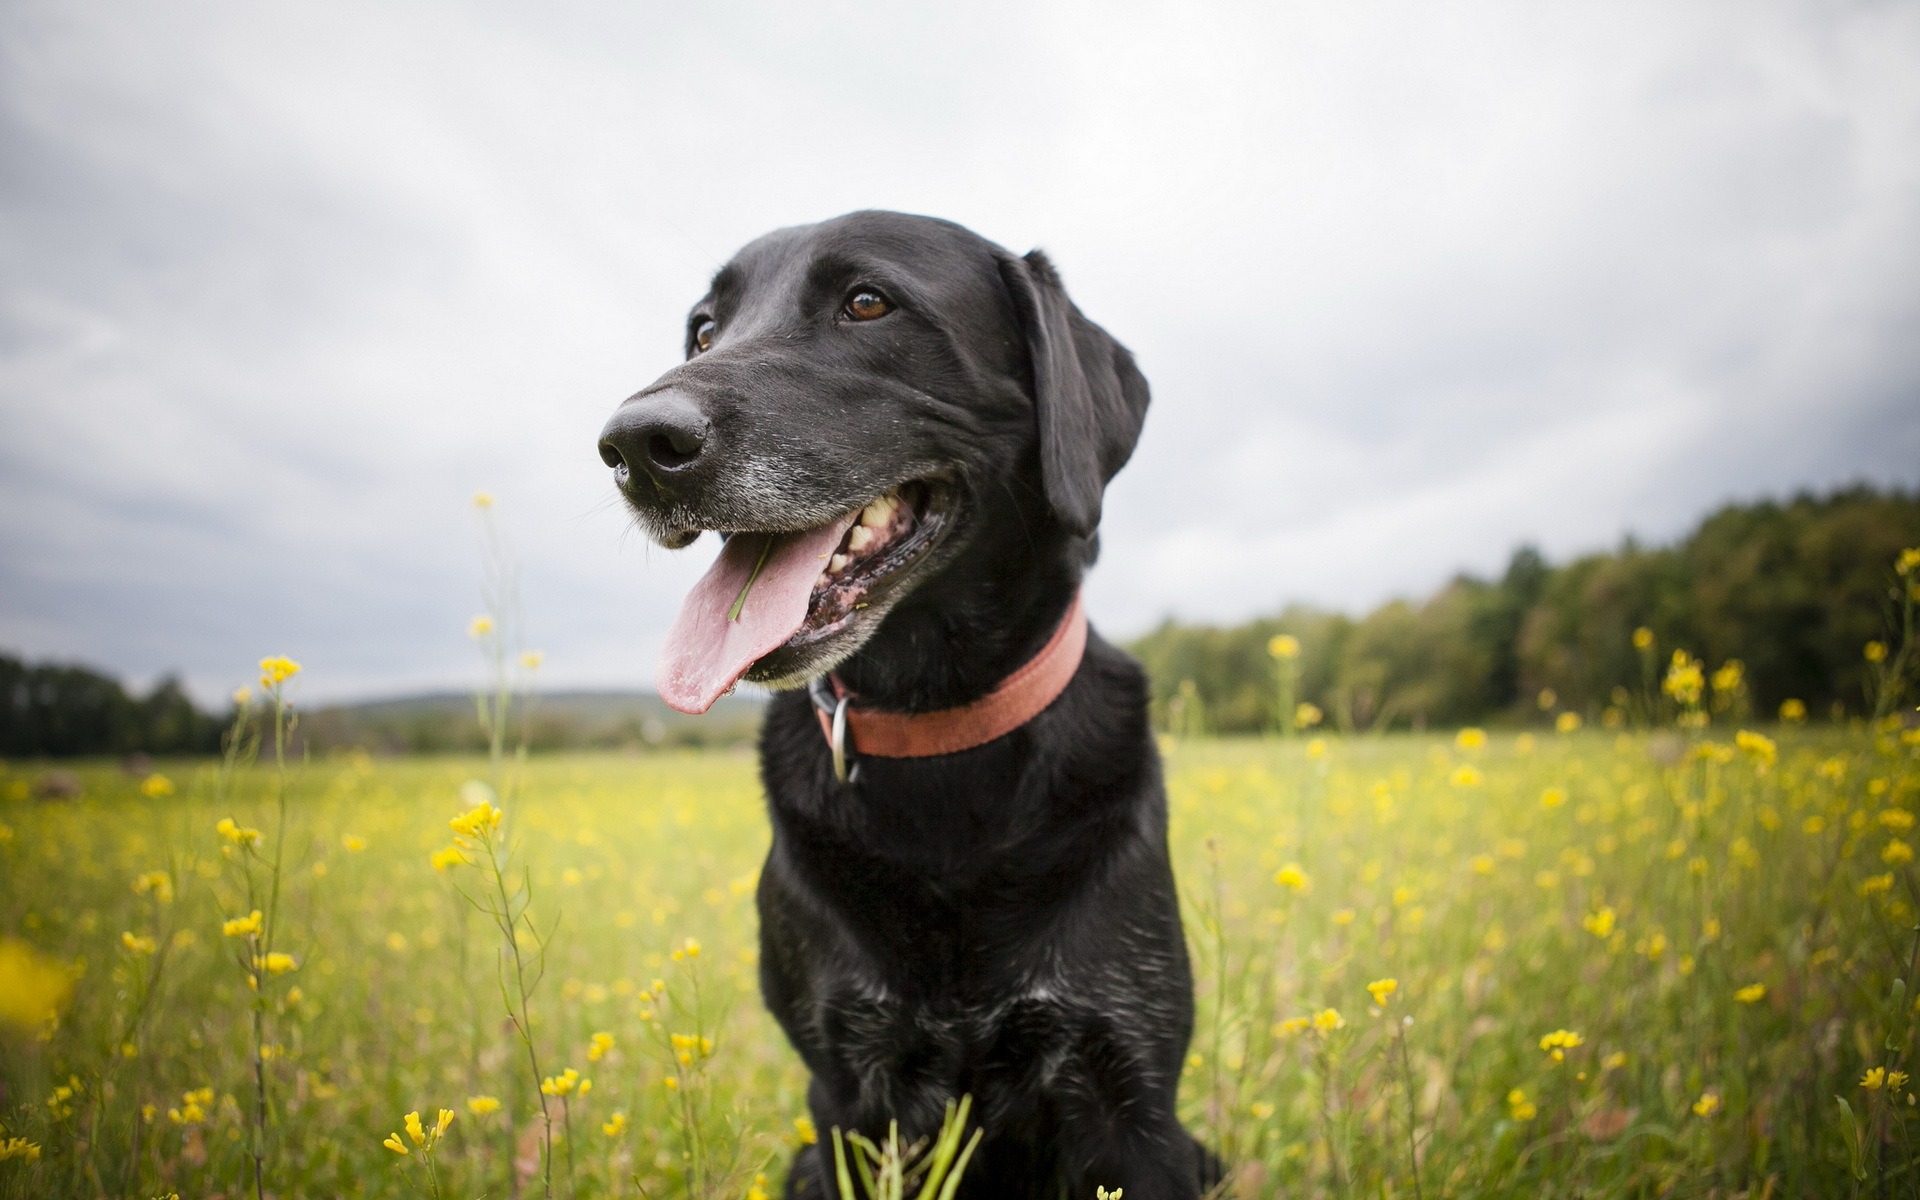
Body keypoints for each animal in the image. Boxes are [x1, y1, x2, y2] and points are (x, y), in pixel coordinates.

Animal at [599, 210, 1205, 1190]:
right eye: (703, 330)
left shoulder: (1130, 1095)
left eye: (867, 303)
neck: (937, 730)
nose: (633, 447)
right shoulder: (853, 1092)